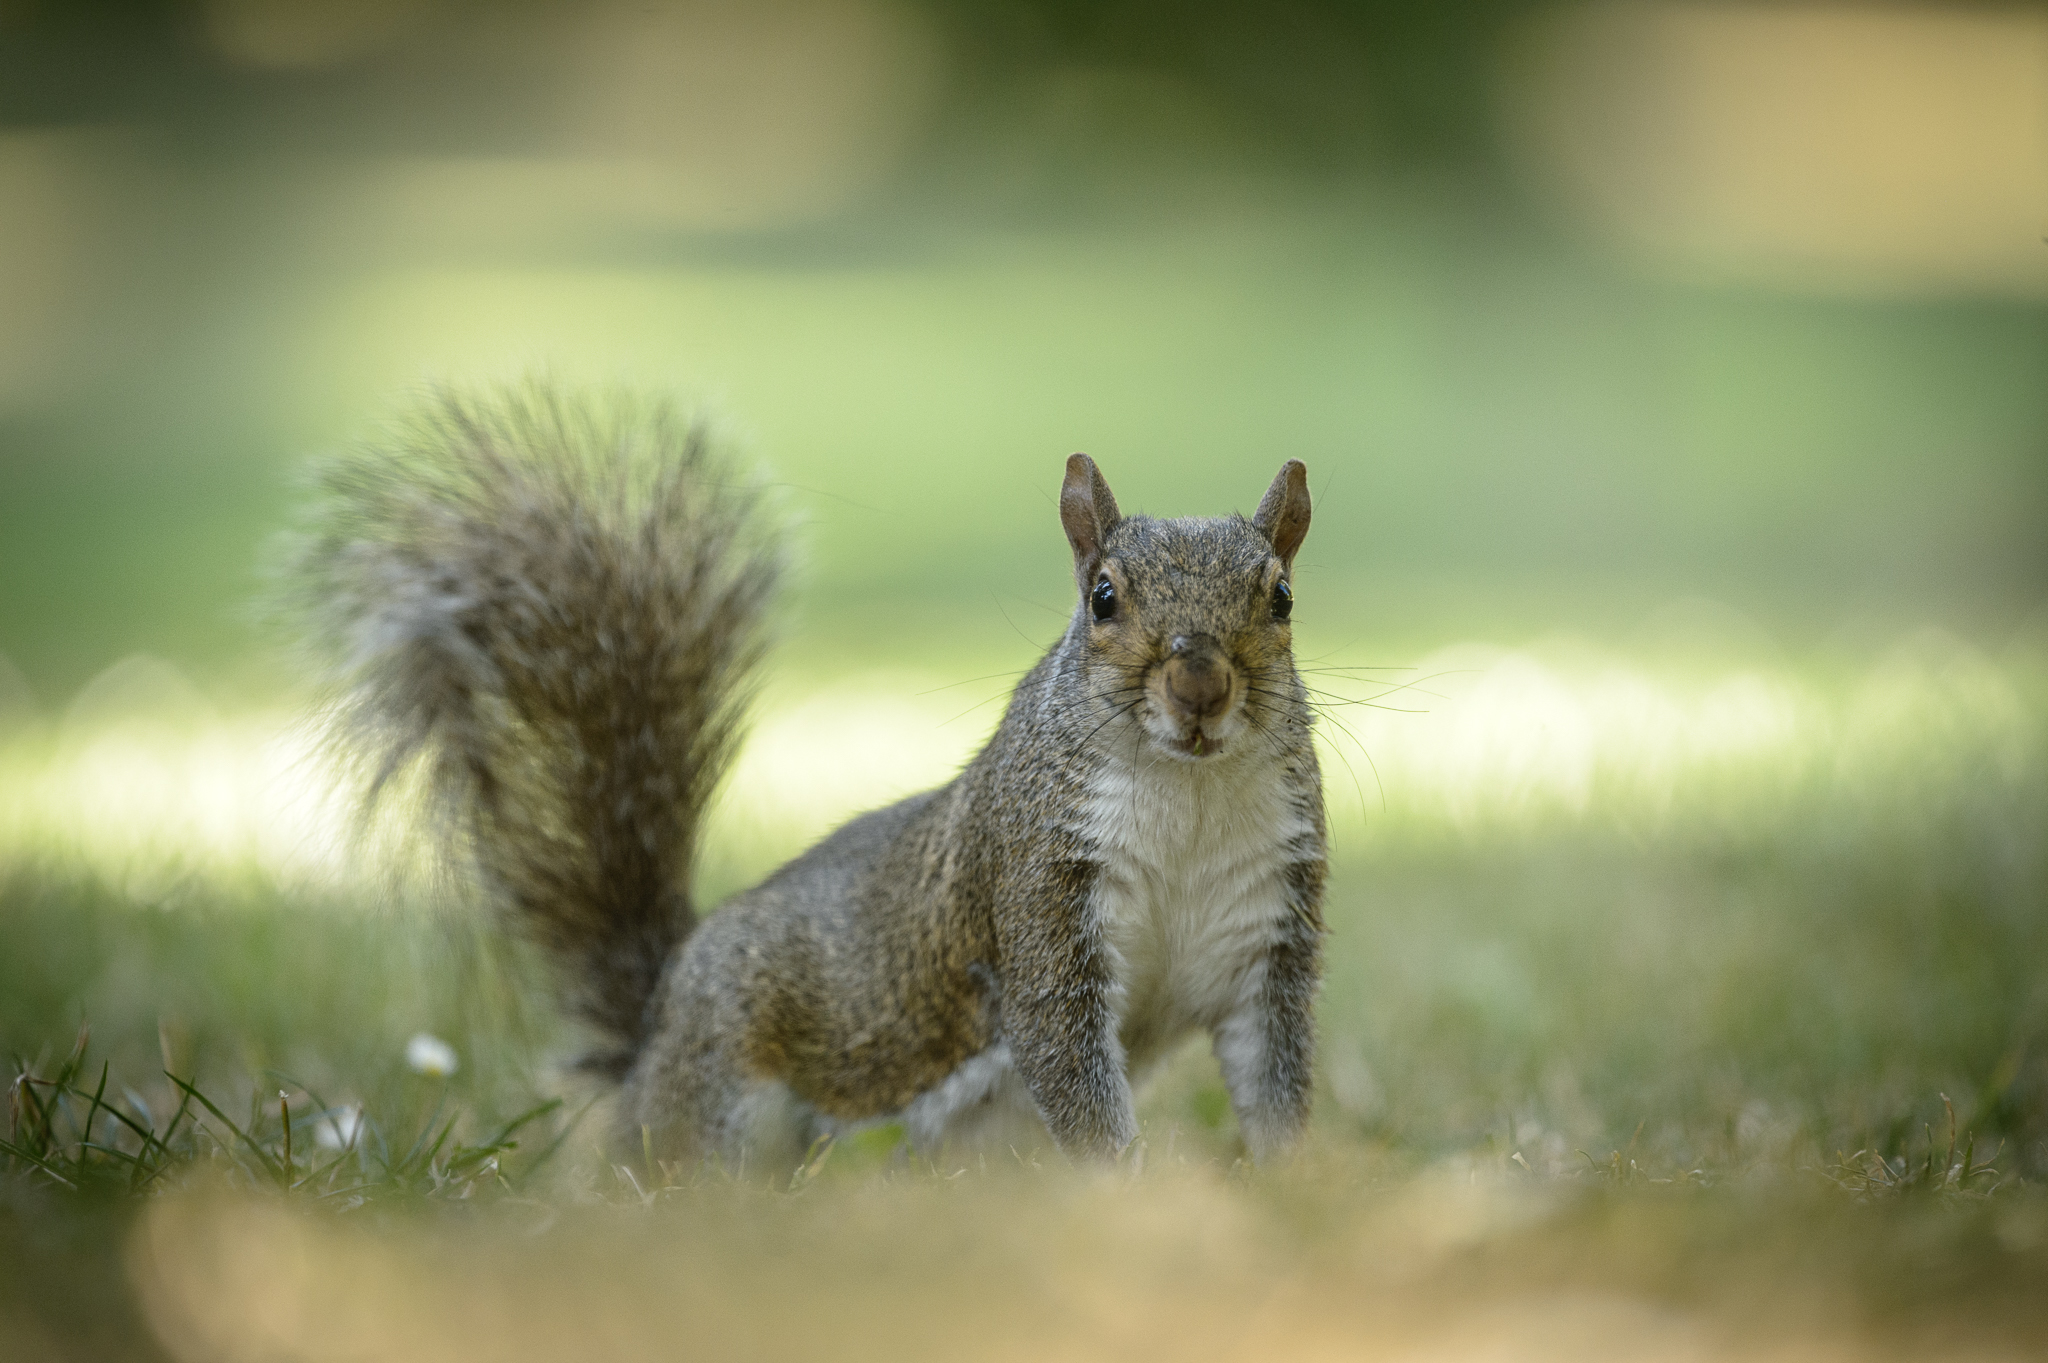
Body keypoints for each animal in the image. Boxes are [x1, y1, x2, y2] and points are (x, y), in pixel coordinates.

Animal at [289, 383, 1326, 1170]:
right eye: (1104, 597)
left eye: (1281, 596)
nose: (1201, 686)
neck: (1187, 795)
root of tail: (650, 1043)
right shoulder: (1039, 901)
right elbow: (1070, 1071)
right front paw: (1133, 1193)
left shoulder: (1268, 935)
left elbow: (1273, 1078)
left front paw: (1293, 1188)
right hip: (727, 1087)